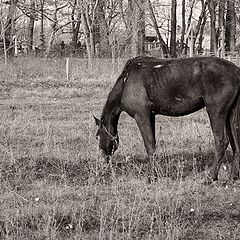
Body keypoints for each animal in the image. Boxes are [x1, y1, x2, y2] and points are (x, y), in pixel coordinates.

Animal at [93, 56, 240, 183]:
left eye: (98, 135)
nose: (103, 159)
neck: (126, 81)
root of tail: (236, 72)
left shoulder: (141, 115)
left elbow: (149, 145)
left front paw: (151, 177)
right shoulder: (151, 116)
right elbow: (152, 143)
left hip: (216, 112)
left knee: (221, 142)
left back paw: (210, 178)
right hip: (230, 115)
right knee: (235, 144)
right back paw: (231, 178)